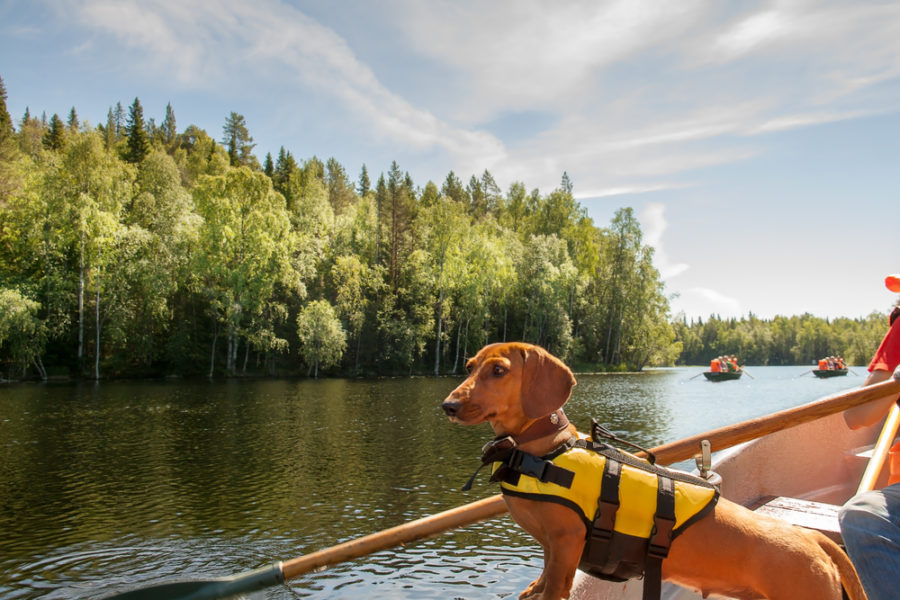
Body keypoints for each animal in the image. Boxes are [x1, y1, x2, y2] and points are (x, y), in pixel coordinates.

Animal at [442, 342, 864, 600]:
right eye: (470, 367)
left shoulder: (565, 542)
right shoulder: (551, 546)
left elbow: (556, 584)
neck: (546, 448)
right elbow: (545, 575)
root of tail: (812, 538)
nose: (448, 405)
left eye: (499, 370)